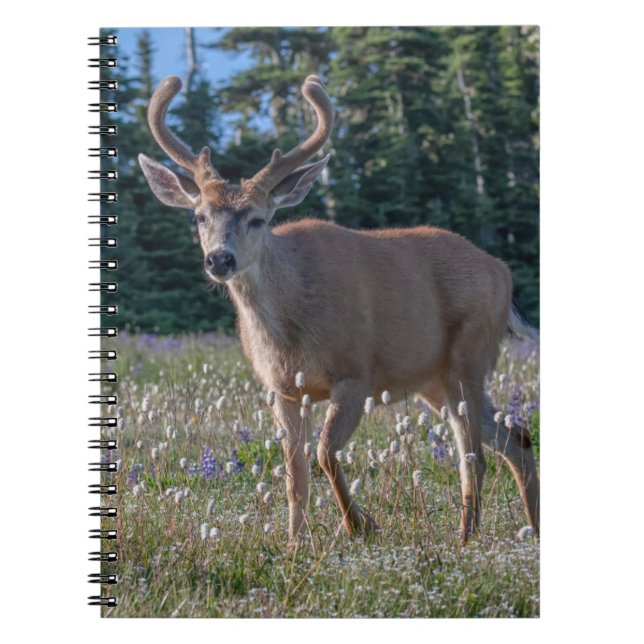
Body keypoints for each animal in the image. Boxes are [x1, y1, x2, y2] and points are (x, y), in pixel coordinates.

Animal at [138, 74, 540, 548]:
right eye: (199, 216)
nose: (219, 259)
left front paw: (359, 524)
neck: (289, 329)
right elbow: (295, 475)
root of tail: (502, 272)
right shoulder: (283, 390)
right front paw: (295, 544)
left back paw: (466, 538)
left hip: (468, 356)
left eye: (257, 218)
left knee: (473, 455)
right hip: (434, 380)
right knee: (516, 437)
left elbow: (326, 453)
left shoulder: (355, 374)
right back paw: (531, 528)